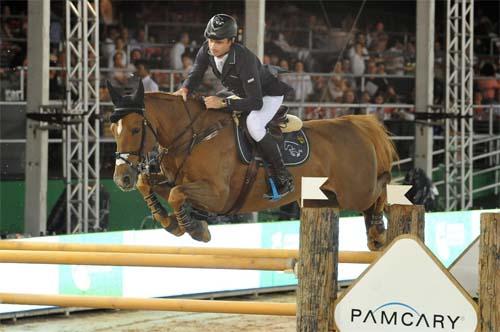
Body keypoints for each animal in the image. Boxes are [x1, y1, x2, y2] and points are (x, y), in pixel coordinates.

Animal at [109, 81, 398, 250]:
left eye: (135, 129)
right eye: (113, 129)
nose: (121, 178)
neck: (195, 135)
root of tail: (357, 124)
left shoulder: (219, 195)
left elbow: (176, 194)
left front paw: (195, 229)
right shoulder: (174, 180)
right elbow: (147, 183)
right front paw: (172, 223)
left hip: (356, 191)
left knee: (380, 189)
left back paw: (379, 231)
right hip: (325, 196)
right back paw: (376, 233)